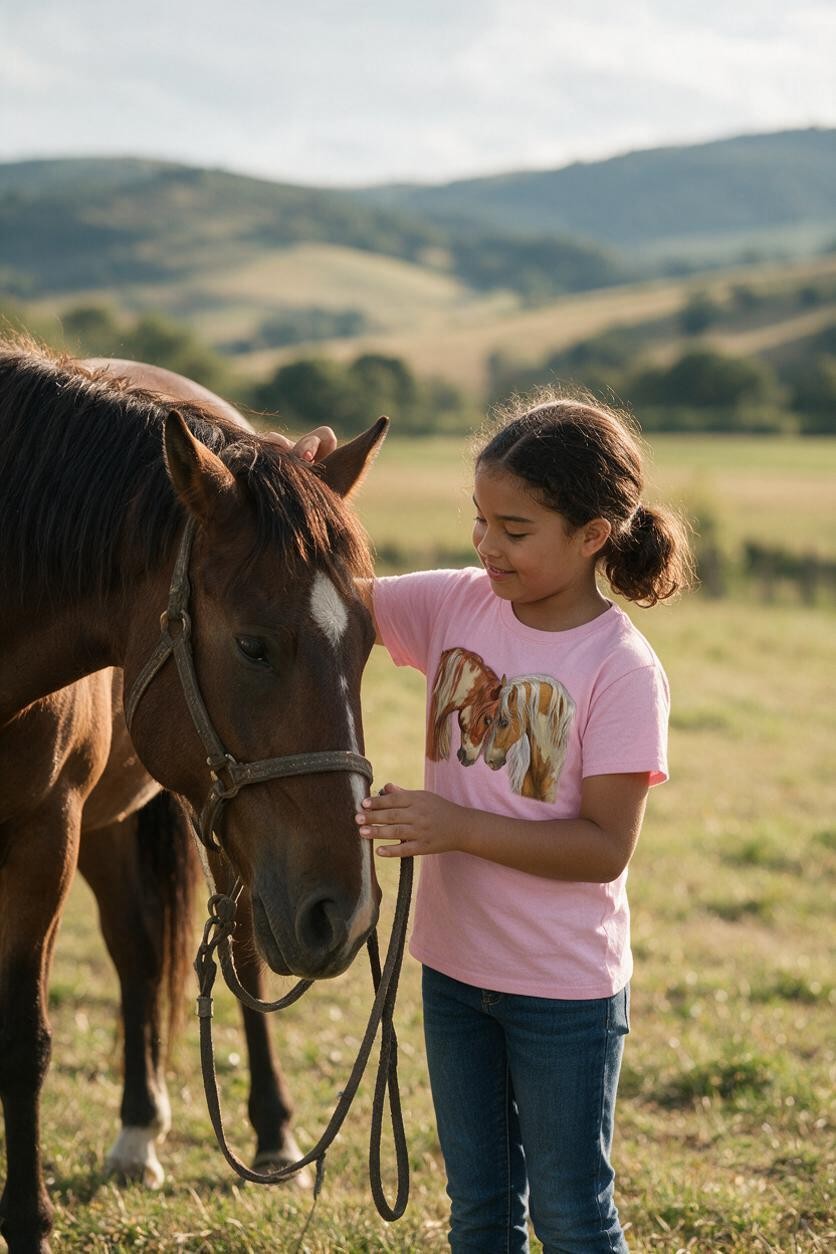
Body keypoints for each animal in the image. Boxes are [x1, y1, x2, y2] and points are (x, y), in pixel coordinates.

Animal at [0, 340, 386, 1253]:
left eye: (369, 643)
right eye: (252, 645)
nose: (350, 910)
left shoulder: (42, 838)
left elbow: (21, 1041)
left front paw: (25, 1222)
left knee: (238, 950)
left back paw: (271, 1133)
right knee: (137, 952)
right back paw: (139, 1126)